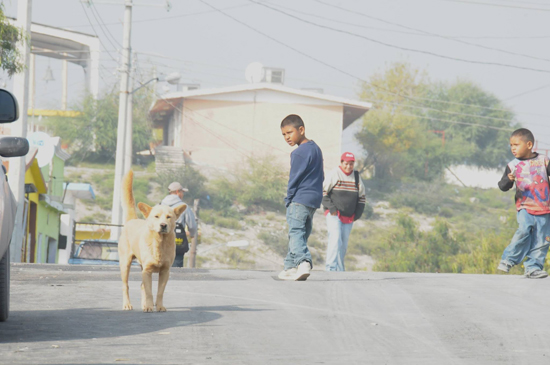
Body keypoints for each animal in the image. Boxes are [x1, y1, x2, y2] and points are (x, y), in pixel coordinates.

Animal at [117, 170, 187, 310]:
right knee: (125, 286)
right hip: (125, 264)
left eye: (169, 217)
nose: (163, 225)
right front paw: (149, 307)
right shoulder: (147, 270)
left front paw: (159, 307)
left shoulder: (165, 271)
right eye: (156, 216)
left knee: (141, 286)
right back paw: (127, 304)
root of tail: (132, 219)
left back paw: (144, 304)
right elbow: (149, 291)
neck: (160, 243)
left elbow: (159, 292)